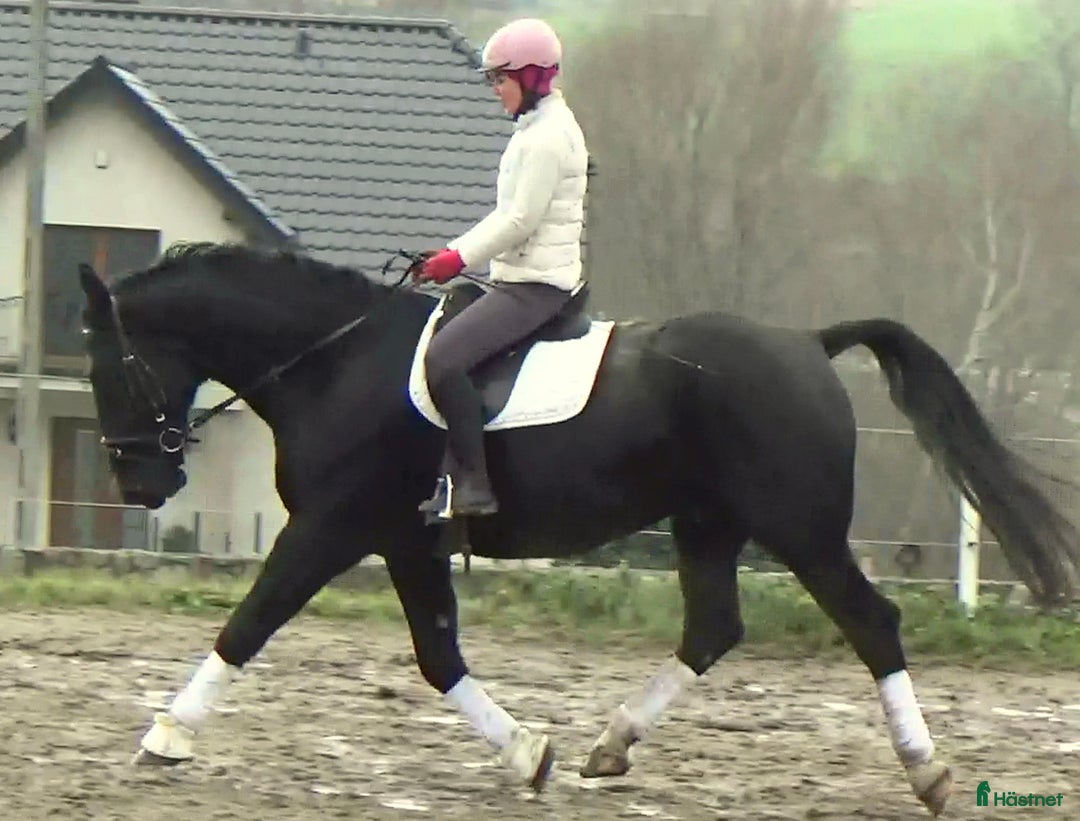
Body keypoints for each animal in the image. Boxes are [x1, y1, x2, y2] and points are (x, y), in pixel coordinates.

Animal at [77, 241, 1080, 816]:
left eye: (106, 364)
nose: (142, 479)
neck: (336, 361)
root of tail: (808, 343)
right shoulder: (403, 539)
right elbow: (438, 657)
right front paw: (531, 753)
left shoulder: (331, 525)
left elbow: (247, 624)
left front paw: (165, 735)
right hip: (708, 524)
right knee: (712, 627)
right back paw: (612, 743)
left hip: (800, 529)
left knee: (872, 623)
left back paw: (928, 771)